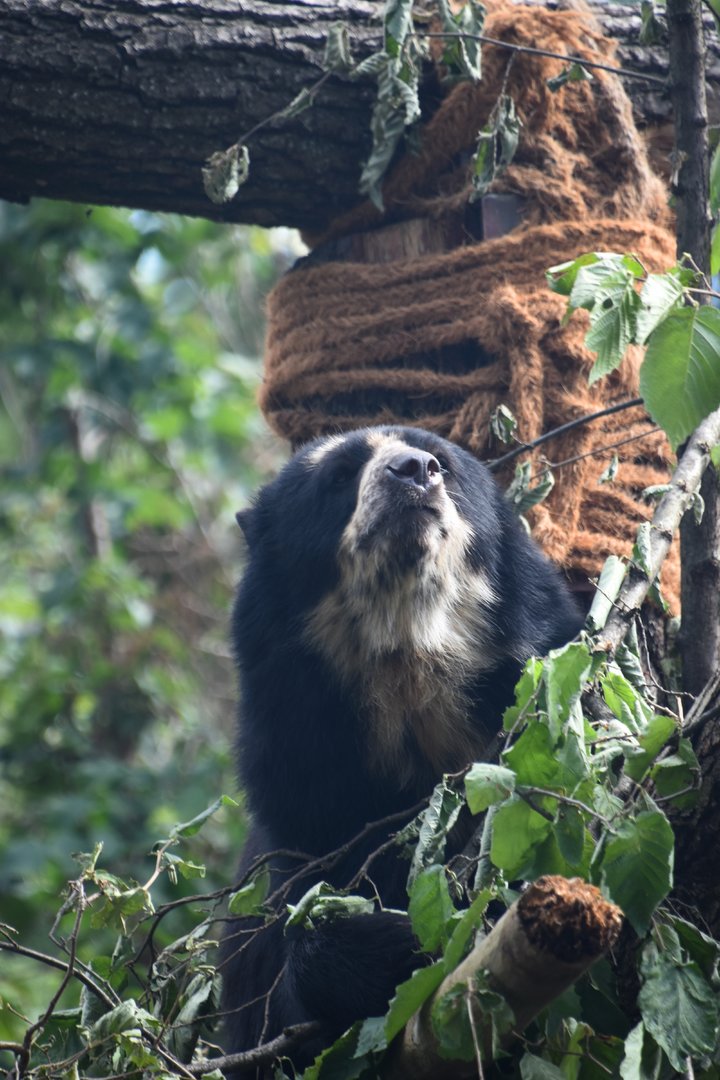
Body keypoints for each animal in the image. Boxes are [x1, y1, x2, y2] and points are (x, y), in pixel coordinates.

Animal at [220, 425, 582, 1070]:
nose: (415, 470)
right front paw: (408, 941)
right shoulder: (303, 796)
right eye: (340, 476)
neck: (408, 666)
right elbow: (284, 985)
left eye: (444, 462)